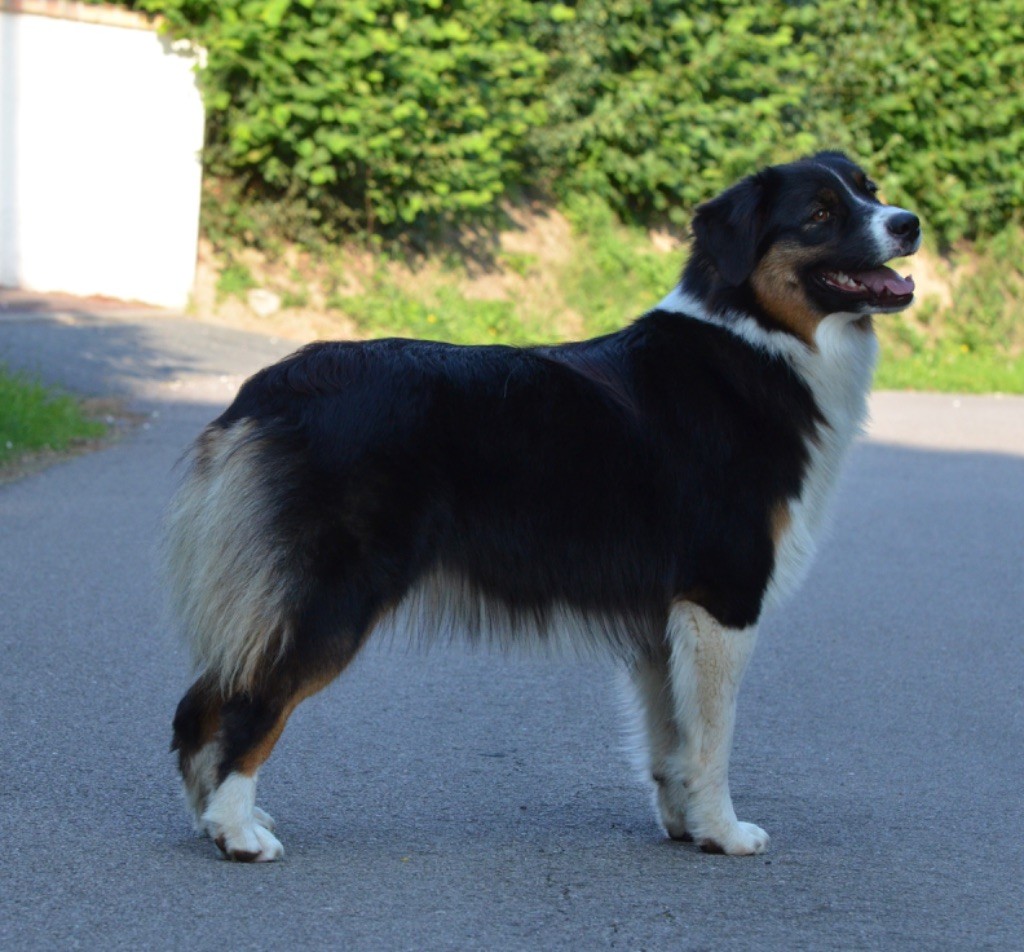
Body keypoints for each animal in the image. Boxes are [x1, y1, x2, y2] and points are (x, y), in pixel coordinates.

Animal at [165, 152, 921, 855]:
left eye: (871, 190)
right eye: (820, 214)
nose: (910, 223)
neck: (761, 337)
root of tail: (264, 390)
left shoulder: (662, 618)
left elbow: (671, 740)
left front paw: (684, 827)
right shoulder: (721, 598)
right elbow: (712, 740)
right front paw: (722, 832)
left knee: (201, 705)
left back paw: (210, 822)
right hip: (331, 596)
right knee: (249, 702)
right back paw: (237, 832)